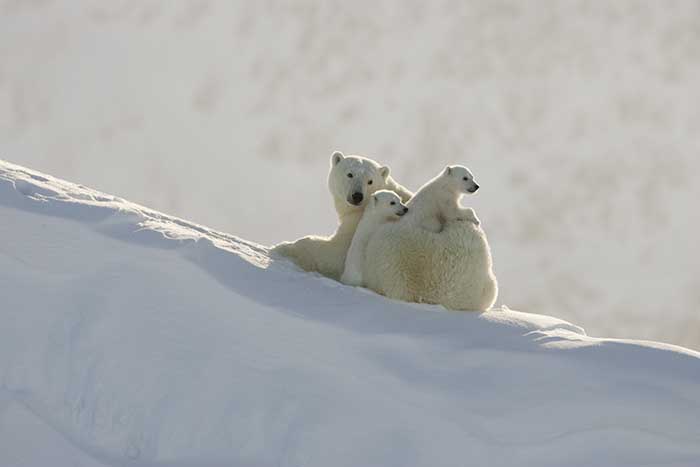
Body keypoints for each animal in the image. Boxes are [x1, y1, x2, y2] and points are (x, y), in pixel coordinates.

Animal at [270, 152, 412, 280]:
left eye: (370, 181)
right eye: (350, 174)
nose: (357, 196)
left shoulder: (358, 224)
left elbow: (335, 253)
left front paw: (282, 247)